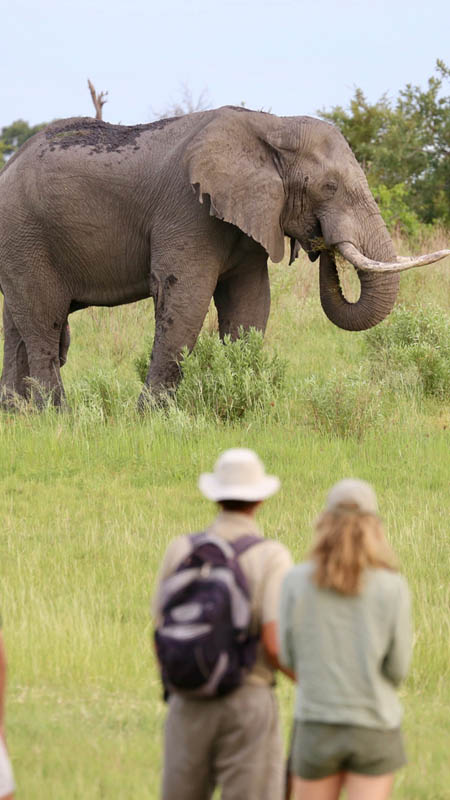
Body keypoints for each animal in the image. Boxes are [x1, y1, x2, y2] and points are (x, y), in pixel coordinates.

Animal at [0, 106, 448, 407]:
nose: (320, 244)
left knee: (17, 325)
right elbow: (185, 299)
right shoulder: (187, 209)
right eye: (330, 187)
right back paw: (55, 416)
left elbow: (250, 304)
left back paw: (18, 416)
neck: (272, 125)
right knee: (43, 320)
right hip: (25, 235)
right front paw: (152, 417)